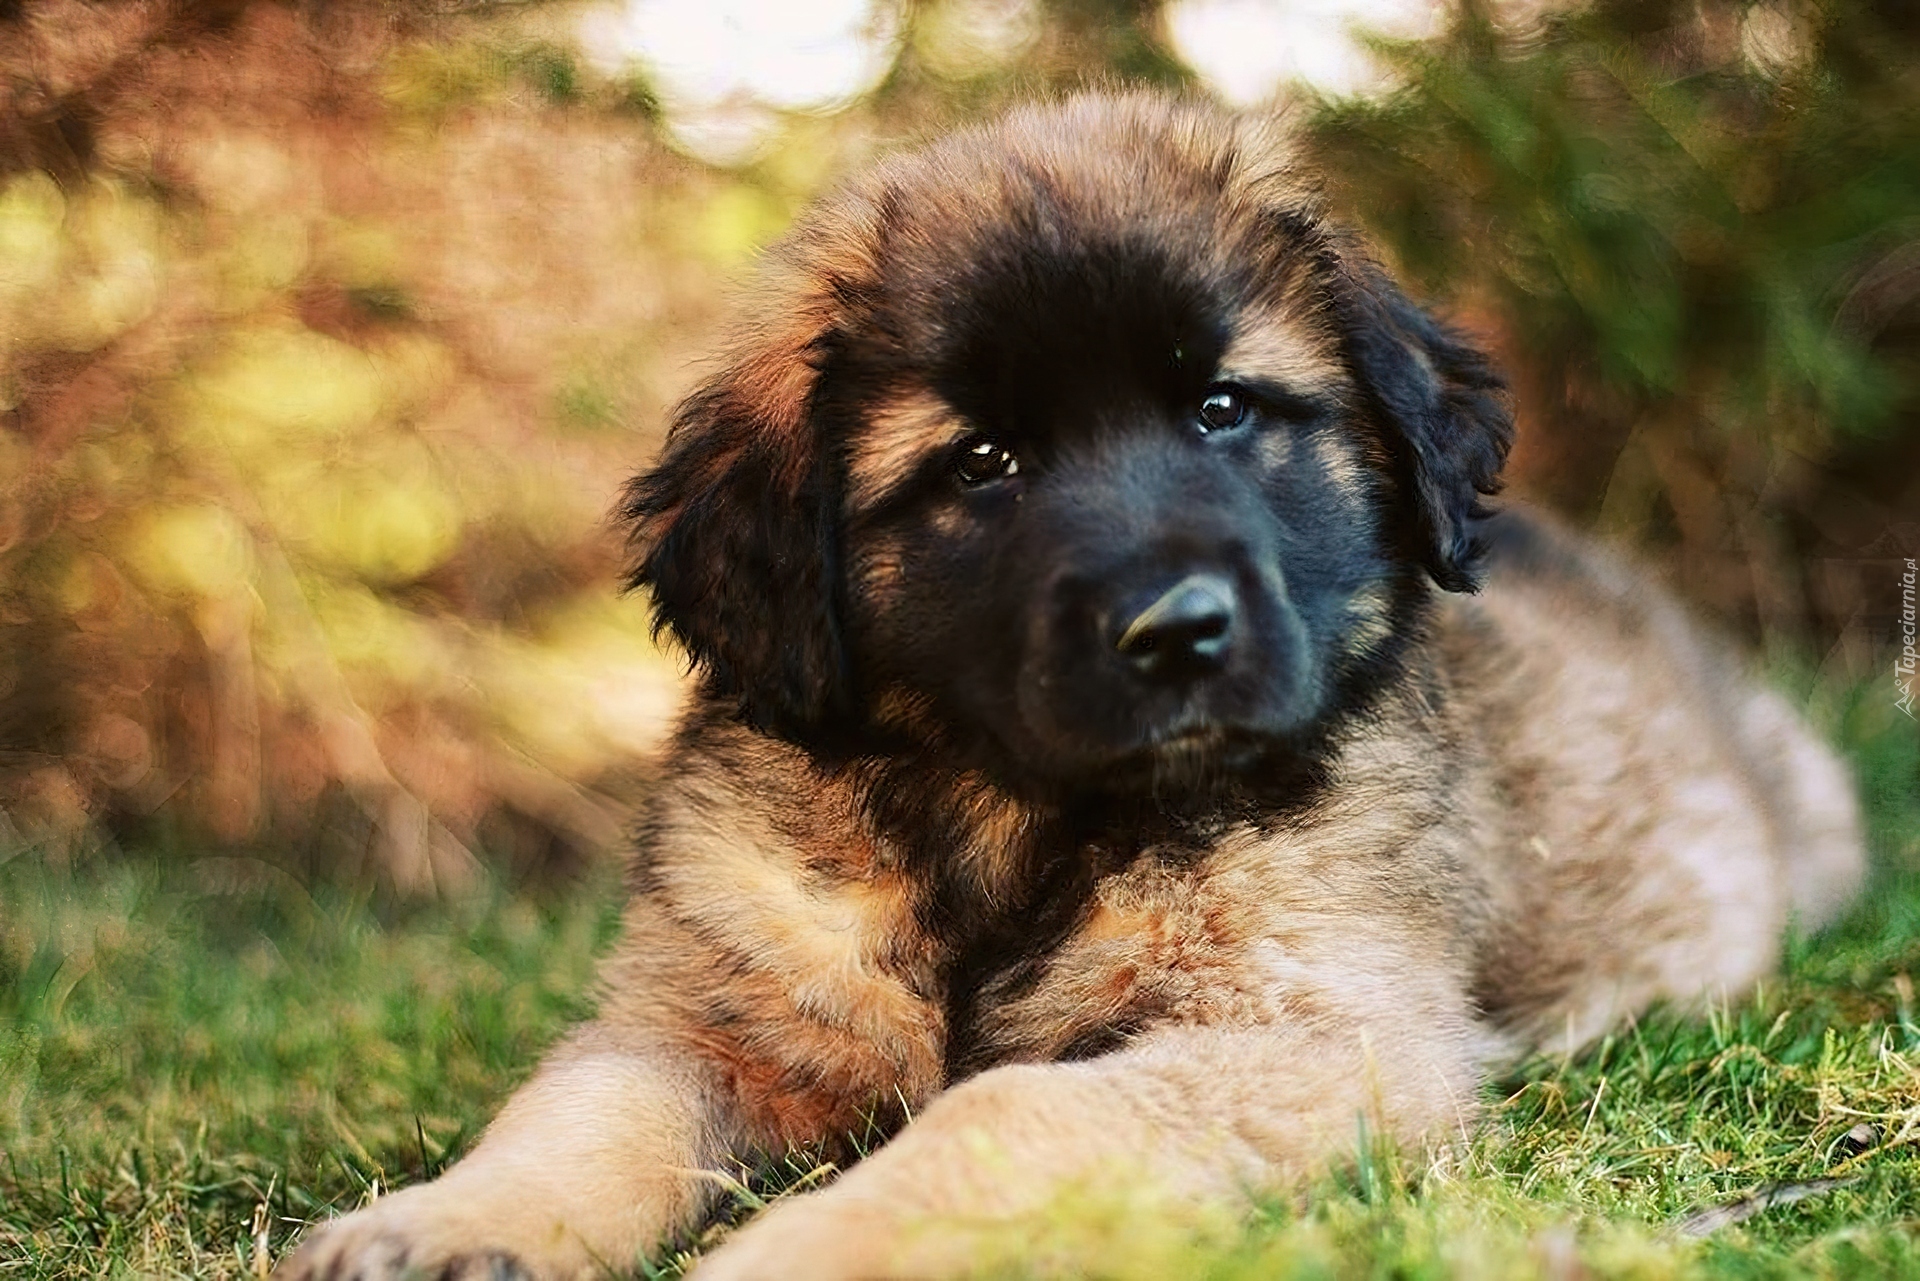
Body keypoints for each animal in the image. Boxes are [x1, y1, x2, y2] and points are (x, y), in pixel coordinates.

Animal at [278, 97, 1866, 1281]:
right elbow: (579, 1112)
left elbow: (1005, 1114)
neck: (1010, 819)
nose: (1177, 629)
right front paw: (442, 1221)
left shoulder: (1309, 1028)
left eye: (1222, 408)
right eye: (983, 463)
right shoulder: (701, 1012)